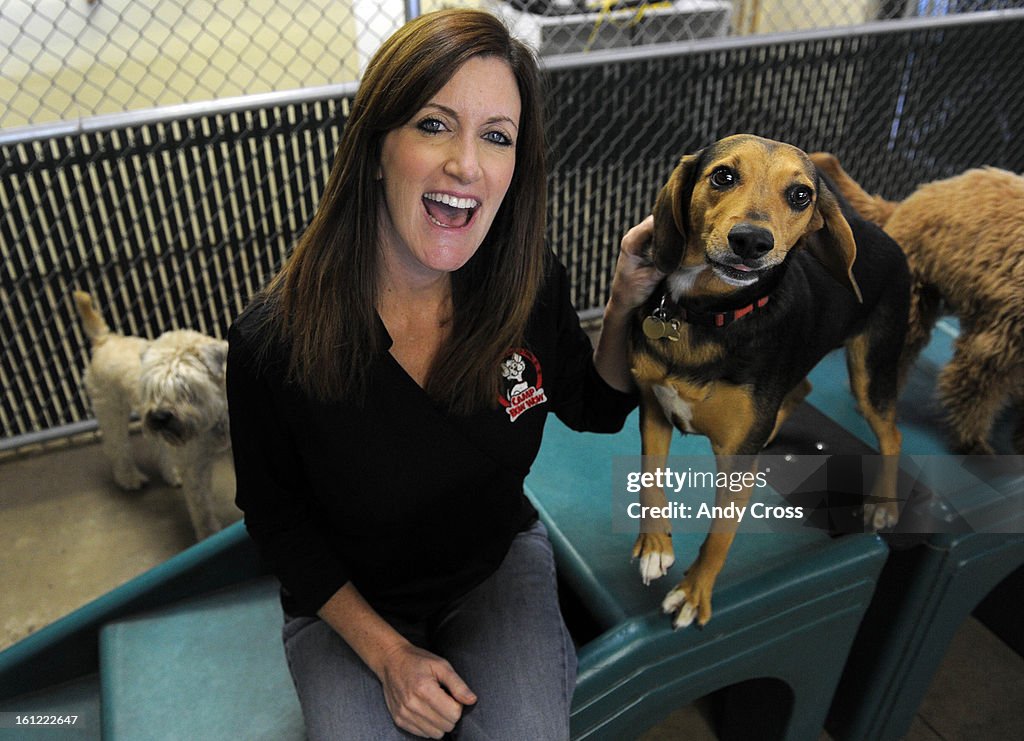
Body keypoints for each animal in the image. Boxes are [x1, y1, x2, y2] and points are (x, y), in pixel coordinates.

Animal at [630, 136, 913, 626]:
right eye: (723, 175)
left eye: (800, 195)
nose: (751, 241)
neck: (709, 314)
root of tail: (877, 231)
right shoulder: (653, 407)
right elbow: (650, 480)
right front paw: (654, 545)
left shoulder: (735, 462)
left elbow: (721, 534)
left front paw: (694, 592)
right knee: (800, 389)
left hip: (872, 369)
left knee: (891, 434)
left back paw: (882, 504)